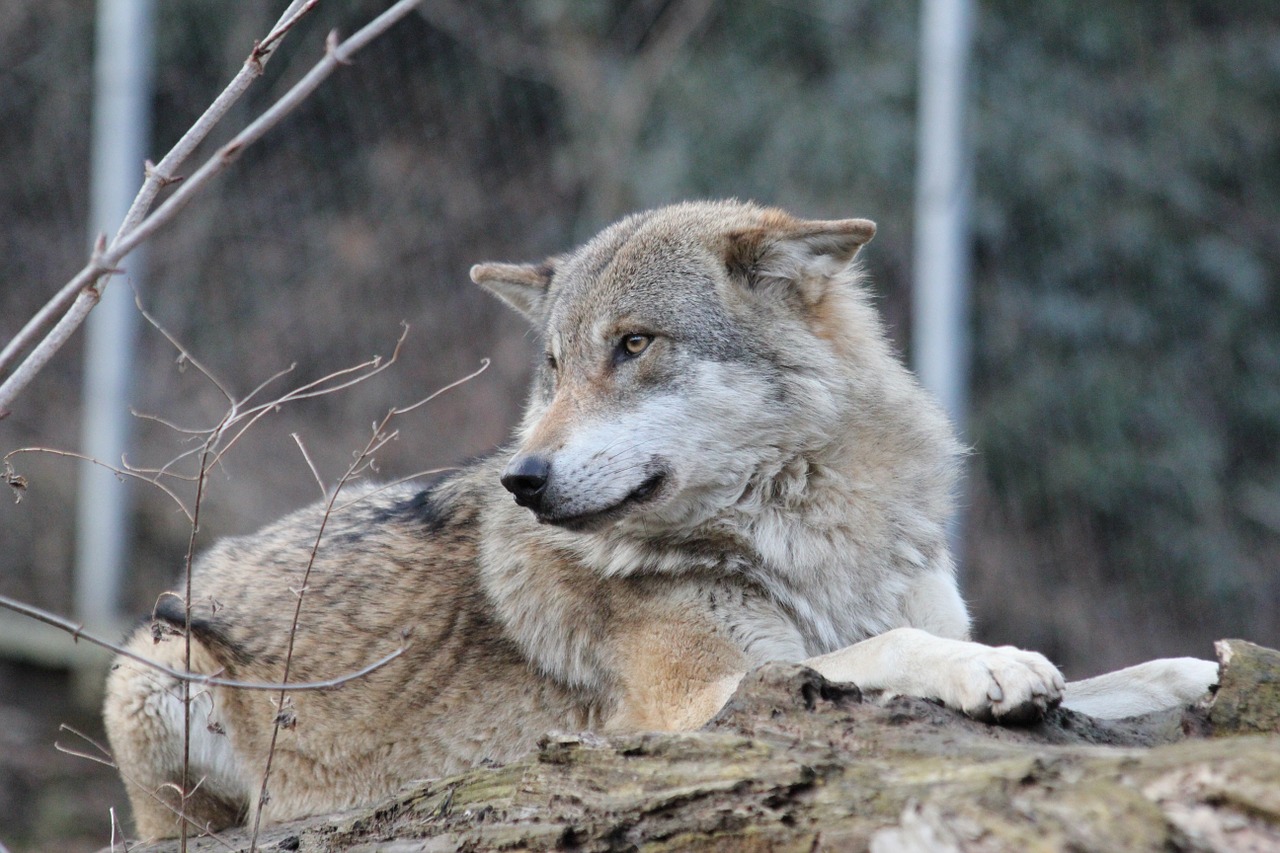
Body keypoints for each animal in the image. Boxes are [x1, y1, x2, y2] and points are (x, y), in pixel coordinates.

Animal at [102, 201, 1218, 835]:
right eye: (554, 366)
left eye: (633, 345)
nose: (522, 478)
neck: (815, 534)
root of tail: (200, 570)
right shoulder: (695, 704)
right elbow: (891, 649)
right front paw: (991, 671)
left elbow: (1123, 675)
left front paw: (1200, 669)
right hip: (156, 667)